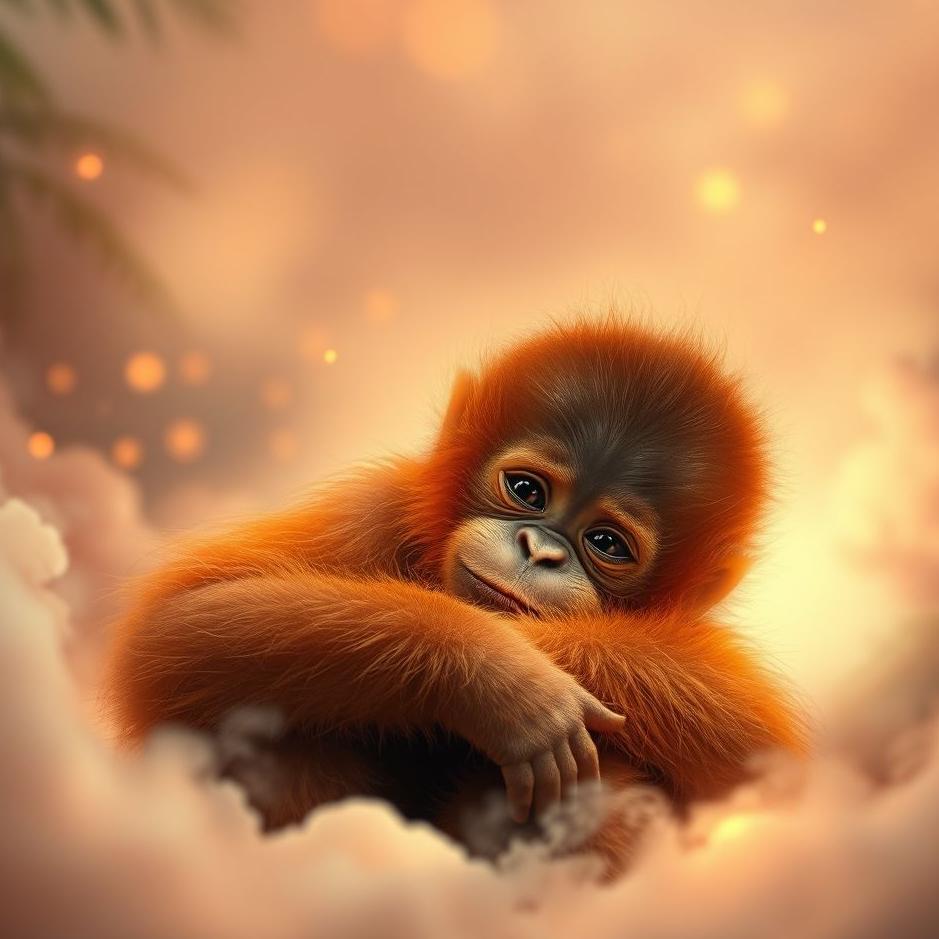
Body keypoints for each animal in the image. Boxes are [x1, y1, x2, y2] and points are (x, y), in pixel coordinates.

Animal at [104, 318, 805, 873]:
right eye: (526, 490)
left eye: (606, 542)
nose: (540, 551)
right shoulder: (376, 511)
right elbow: (179, 625)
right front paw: (505, 678)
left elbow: (775, 766)